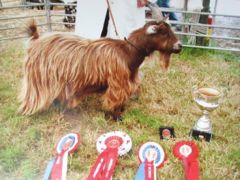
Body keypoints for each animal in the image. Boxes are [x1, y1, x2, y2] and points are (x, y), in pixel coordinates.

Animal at [19, 19, 182, 120]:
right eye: (164, 33)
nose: (180, 46)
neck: (128, 52)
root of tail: (35, 42)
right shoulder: (117, 83)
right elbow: (115, 101)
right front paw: (117, 117)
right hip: (40, 78)